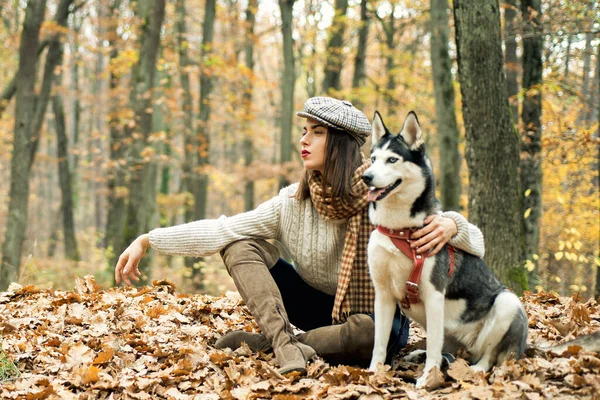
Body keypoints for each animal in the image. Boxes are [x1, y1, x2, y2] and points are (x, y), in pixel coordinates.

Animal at [360, 111, 524, 388]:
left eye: (392, 159)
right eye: (373, 159)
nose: (366, 177)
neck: (400, 229)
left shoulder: (434, 294)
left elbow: (434, 349)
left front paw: (428, 379)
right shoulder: (383, 295)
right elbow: (379, 344)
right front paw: (374, 374)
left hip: (507, 304)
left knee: (488, 355)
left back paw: (476, 369)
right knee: (444, 350)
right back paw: (419, 354)